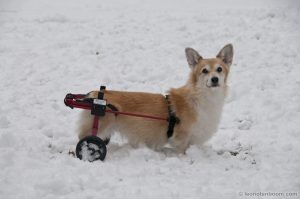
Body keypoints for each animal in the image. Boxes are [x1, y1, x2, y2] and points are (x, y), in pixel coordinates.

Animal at [77, 44, 232, 153]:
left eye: (219, 69)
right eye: (204, 71)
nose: (214, 79)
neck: (203, 96)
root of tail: (93, 95)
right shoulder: (181, 138)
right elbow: (181, 152)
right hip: (98, 126)